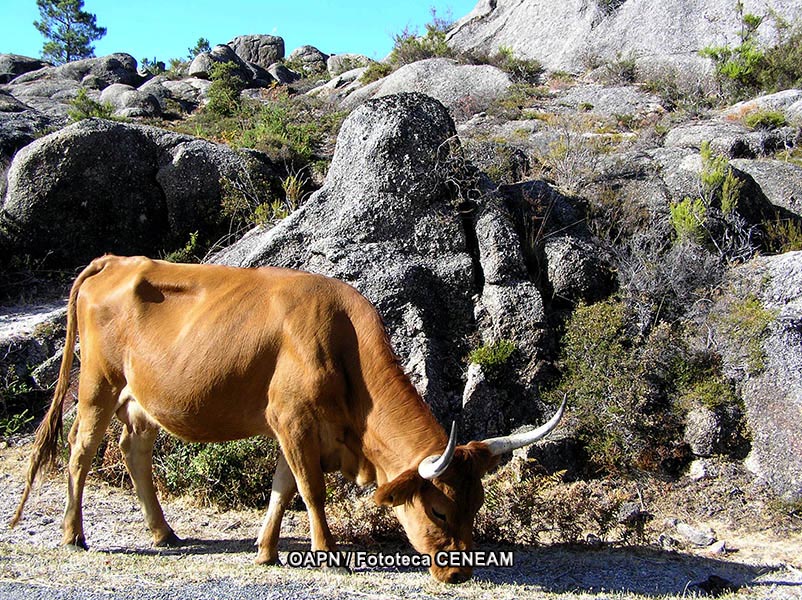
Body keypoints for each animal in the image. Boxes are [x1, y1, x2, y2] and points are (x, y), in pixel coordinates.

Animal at [10, 255, 564, 584]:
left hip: (140, 399)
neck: (344, 343)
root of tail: (119, 260)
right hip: (96, 385)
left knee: (134, 451)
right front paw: (327, 551)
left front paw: (266, 549)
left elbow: (283, 486)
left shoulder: (292, 426)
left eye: (475, 506)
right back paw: (73, 533)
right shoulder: (292, 417)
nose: (461, 573)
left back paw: (163, 532)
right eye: (440, 512)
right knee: (81, 451)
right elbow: (311, 489)